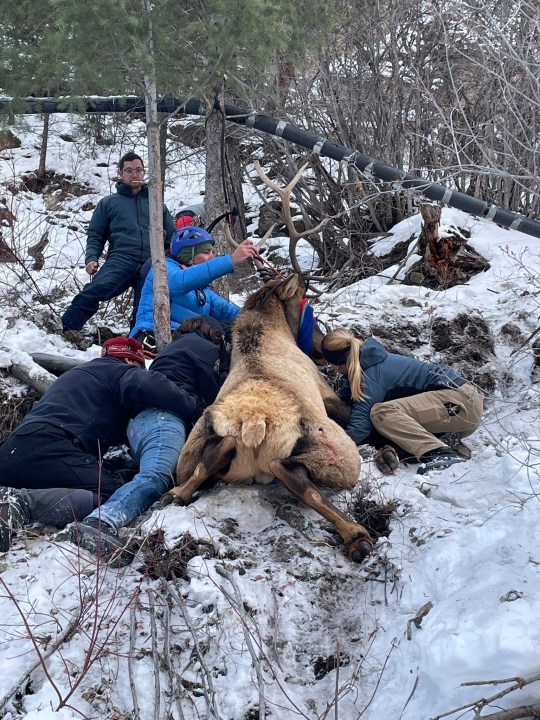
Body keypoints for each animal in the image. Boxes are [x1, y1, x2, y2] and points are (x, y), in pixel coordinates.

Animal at [162, 274, 374, 564]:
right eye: (304, 303)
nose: (321, 349)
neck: (266, 331)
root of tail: (254, 423)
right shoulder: (328, 395)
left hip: (190, 457)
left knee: (203, 466)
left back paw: (175, 494)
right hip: (343, 456)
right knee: (296, 477)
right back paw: (357, 538)